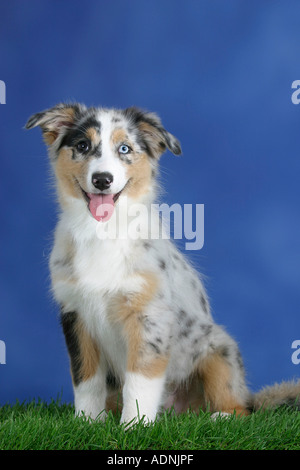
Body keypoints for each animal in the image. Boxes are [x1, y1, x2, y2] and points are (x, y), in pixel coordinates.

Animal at [26, 103, 300, 426]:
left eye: (124, 148)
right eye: (82, 146)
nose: (102, 179)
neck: (102, 232)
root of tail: (177, 410)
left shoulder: (149, 316)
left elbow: (140, 380)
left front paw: (134, 426)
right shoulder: (75, 316)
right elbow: (85, 378)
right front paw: (88, 423)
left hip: (221, 351)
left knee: (240, 406)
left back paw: (220, 416)